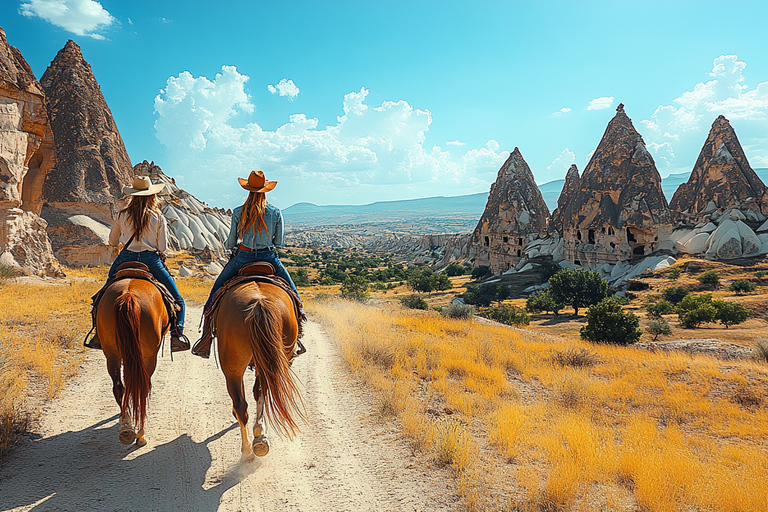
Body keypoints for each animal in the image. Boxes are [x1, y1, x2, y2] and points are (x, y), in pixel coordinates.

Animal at [97, 278, 169, 446]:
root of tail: (128, 295)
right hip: (148, 356)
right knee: (143, 387)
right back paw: (140, 434)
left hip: (112, 353)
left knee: (119, 386)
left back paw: (126, 426)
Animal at [216, 280, 304, 460]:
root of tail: (259, 303)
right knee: (254, 396)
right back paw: (256, 443)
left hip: (233, 368)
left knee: (242, 403)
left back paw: (250, 448)